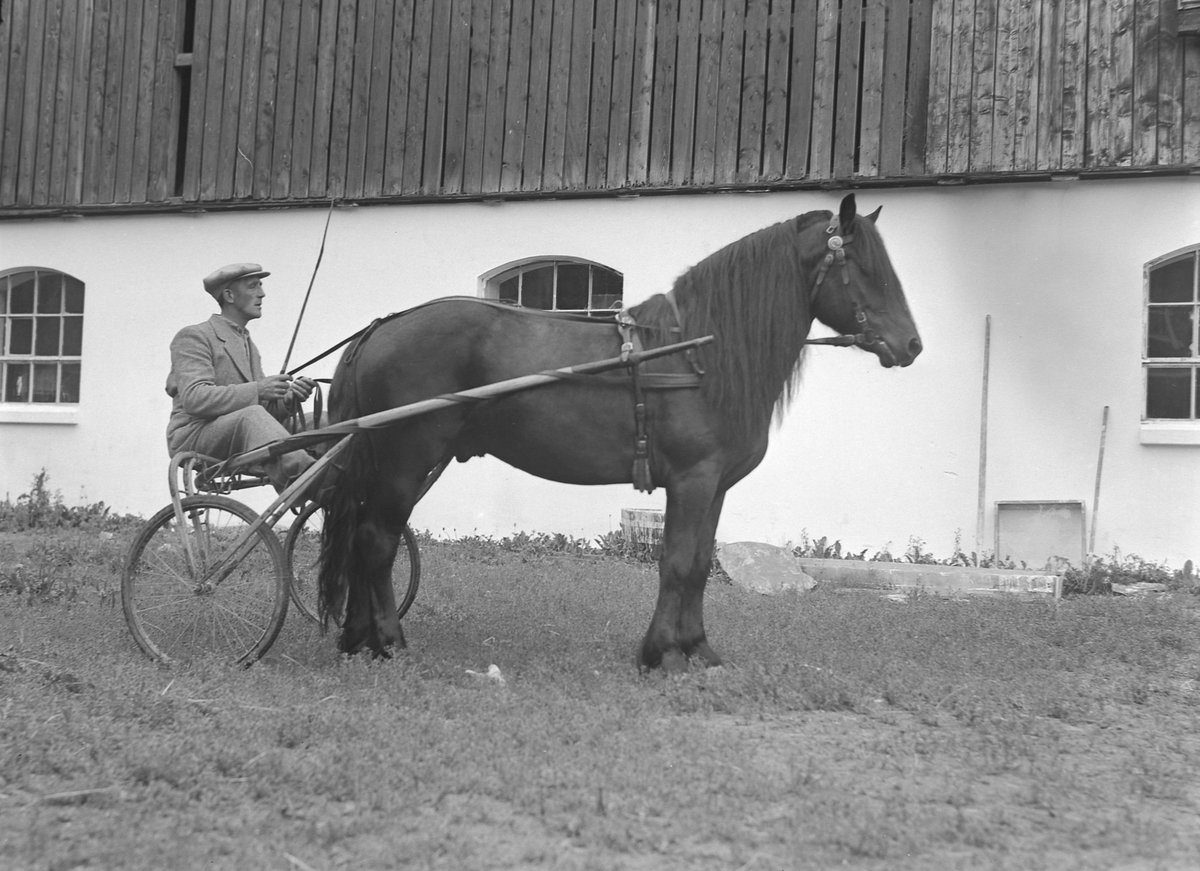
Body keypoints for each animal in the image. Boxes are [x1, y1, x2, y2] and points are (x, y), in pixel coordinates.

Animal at [316, 194, 916, 671]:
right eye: (864, 267)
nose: (911, 345)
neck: (697, 354)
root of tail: (379, 330)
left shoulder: (714, 486)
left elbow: (700, 564)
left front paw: (698, 649)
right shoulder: (692, 481)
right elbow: (677, 563)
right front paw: (663, 654)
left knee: (366, 539)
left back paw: (357, 638)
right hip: (405, 463)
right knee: (377, 541)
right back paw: (388, 641)